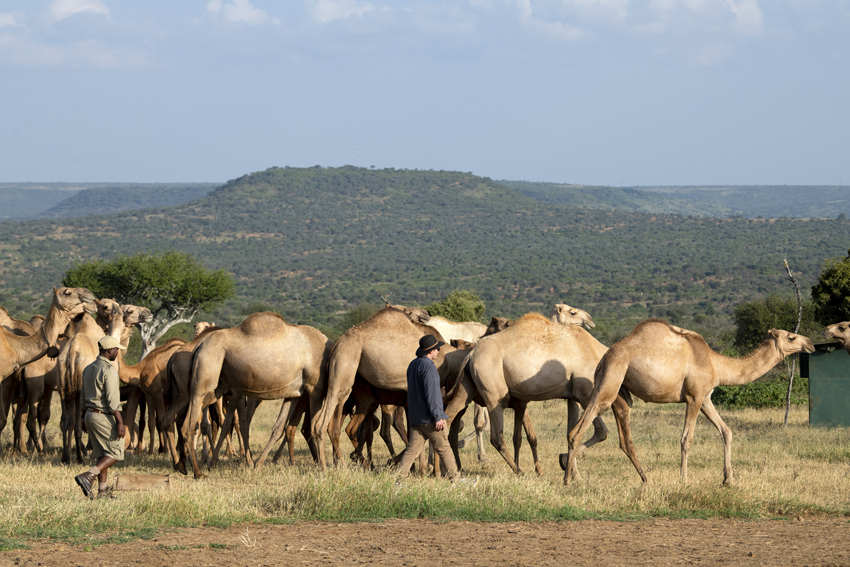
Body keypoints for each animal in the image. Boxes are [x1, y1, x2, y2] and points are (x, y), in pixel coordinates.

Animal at [180, 312, 331, 479]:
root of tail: (199, 345)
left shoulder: (294, 393)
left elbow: (278, 428)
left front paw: (258, 464)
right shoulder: (315, 388)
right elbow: (316, 427)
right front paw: (323, 468)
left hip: (214, 388)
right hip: (205, 376)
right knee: (189, 426)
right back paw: (198, 472)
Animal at [442, 313, 611, 475]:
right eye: (573, 313)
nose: (589, 320)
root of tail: (471, 355)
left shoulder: (572, 397)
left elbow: (572, 431)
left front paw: (573, 472)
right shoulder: (586, 393)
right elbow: (601, 431)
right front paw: (564, 463)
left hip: (466, 387)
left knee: (448, 420)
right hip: (493, 393)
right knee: (496, 437)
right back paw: (518, 471)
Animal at [564, 319, 815, 486]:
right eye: (791, 337)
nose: (811, 343)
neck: (716, 364)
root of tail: (604, 357)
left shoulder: (705, 398)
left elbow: (726, 431)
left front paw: (728, 479)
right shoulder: (694, 397)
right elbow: (687, 439)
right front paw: (683, 480)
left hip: (621, 393)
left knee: (623, 439)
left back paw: (644, 479)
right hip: (610, 380)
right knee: (578, 429)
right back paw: (567, 480)